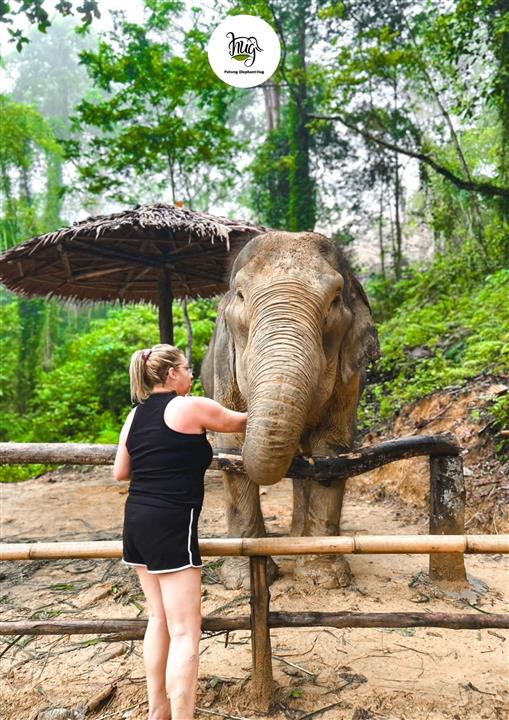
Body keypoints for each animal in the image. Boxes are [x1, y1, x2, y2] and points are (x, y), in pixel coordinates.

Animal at [201, 230, 380, 589]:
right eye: (240, 295)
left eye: (335, 300)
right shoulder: (223, 369)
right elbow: (232, 451)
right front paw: (245, 581)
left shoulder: (350, 380)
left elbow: (332, 450)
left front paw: (324, 577)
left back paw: (299, 539)